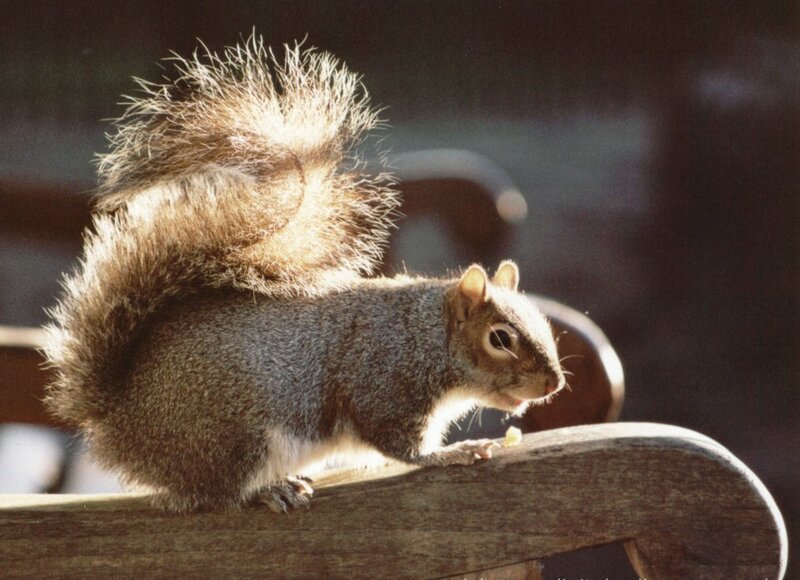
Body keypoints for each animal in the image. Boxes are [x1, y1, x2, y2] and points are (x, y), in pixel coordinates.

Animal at [43, 36, 566, 513]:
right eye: (499, 338)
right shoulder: (383, 385)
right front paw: (456, 452)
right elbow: (403, 447)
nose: (553, 385)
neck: (425, 338)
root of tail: (120, 422)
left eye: (543, 326)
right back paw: (268, 490)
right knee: (219, 495)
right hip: (236, 435)